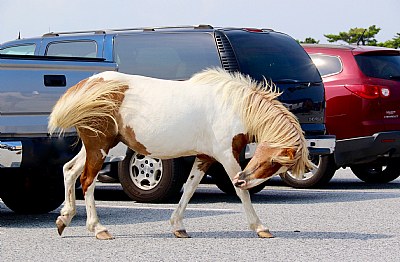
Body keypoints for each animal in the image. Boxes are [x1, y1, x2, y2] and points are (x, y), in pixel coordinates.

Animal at [49, 68, 312, 239]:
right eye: (274, 161)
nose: (244, 179)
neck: (233, 106)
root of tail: (89, 84)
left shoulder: (205, 157)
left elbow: (190, 189)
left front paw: (178, 226)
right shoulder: (227, 156)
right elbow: (241, 194)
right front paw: (259, 227)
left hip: (95, 146)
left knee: (69, 171)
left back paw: (65, 218)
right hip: (99, 146)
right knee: (87, 181)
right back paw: (98, 228)